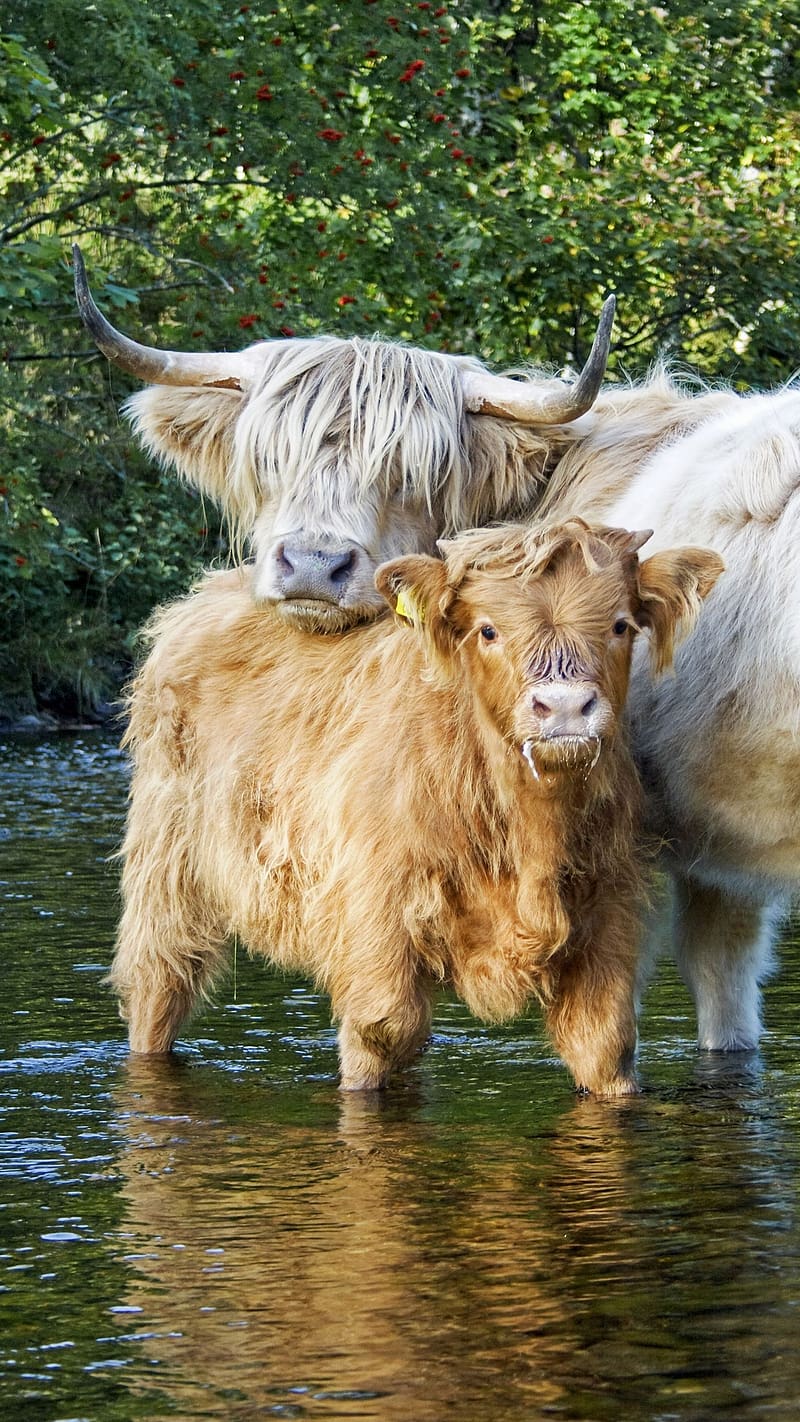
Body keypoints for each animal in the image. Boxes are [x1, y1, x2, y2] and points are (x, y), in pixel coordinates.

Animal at [111, 519, 722, 1094]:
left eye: (619, 624)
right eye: (488, 629)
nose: (565, 707)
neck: (529, 831)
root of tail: (207, 592)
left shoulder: (609, 912)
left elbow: (605, 1043)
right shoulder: (374, 916)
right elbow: (384, 1031)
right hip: (165, 870)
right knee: (158, 982)